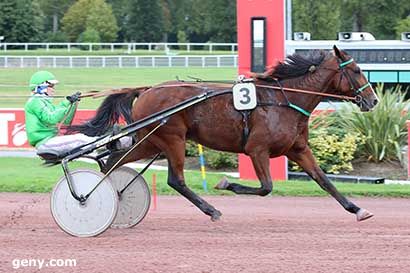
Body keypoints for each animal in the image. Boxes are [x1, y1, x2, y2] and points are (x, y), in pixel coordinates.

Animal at [69, 45, 378, 221]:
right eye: (356, 70)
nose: (373, 100)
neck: (283, 100)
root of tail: (147, 89)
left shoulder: (298, 149)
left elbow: (324, 181)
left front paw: (357, 209)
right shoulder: (257, 150)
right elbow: (266, 188)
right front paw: (226, 183)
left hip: (152, 141)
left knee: (114, 161)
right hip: (172, 139)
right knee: (175, 180)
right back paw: (211, 210)